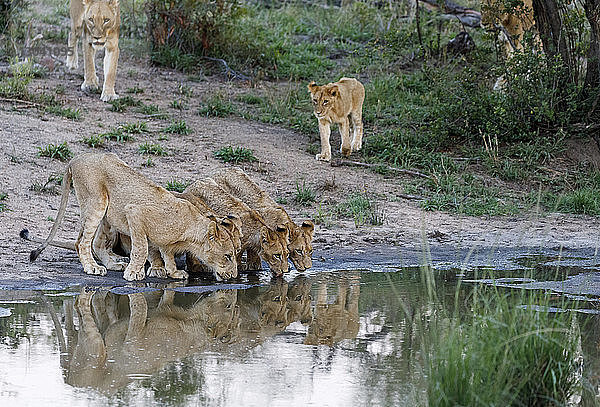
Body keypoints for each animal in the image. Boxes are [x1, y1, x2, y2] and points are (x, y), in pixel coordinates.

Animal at [29, 151, 237, 282]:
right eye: (228, 256)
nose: (235, 275)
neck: (189, 232)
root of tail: (76, 158)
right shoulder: (135, 213)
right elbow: (142, 249)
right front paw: (134, 273)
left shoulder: (165, 241)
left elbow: (166, 254)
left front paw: (175, 273)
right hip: (96, 201)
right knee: (81, 242)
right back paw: (92, 267)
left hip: (107, 215)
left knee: (97, 243)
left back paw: (114, 264)